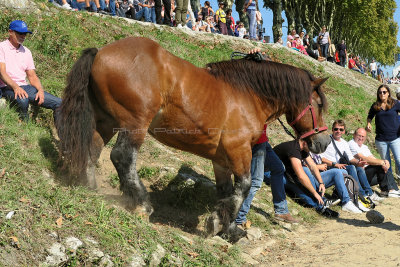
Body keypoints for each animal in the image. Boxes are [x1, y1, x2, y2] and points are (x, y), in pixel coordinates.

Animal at [57, 37, 332, 241]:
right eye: (318, 104)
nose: (323, 143)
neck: (247, 94)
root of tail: (101, 52)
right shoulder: (238, 150)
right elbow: (243, 187)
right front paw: (219, 223)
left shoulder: (221, 159)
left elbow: (227, 191)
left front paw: (227, 228)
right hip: (135, 123)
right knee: (122, 157)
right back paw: (141, 203)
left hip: (106, 122)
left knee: (92, 150)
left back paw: (90, 187)